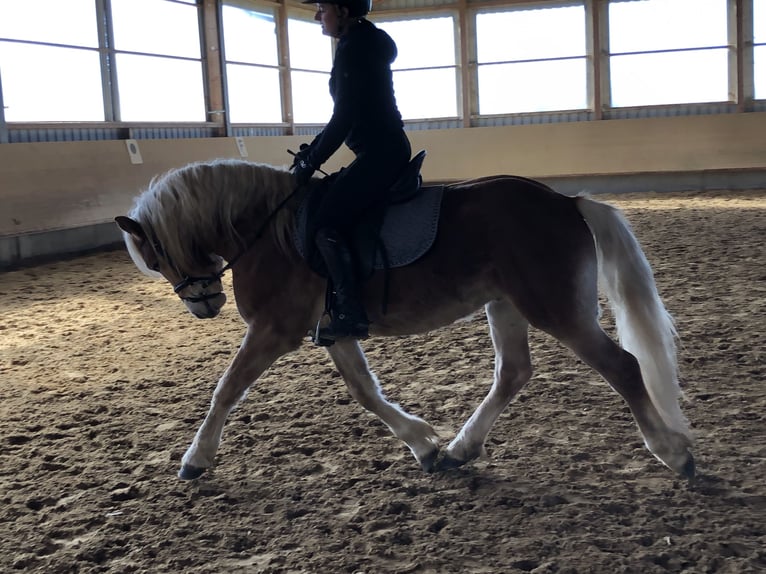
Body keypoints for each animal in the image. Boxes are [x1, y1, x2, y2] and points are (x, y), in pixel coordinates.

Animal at [115, 156, 696, 482]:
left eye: (156, 256)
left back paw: (674, 454)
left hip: (554, 308)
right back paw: (461, 450)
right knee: (513, 373)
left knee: (622, 367)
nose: (203, 304)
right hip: (505, 304)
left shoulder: (274, 330)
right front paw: (424, 445)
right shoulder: (332, 331)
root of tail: (566, 202)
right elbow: (364, 391)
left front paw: (195, 460)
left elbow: (226, 389)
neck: (266, 232)